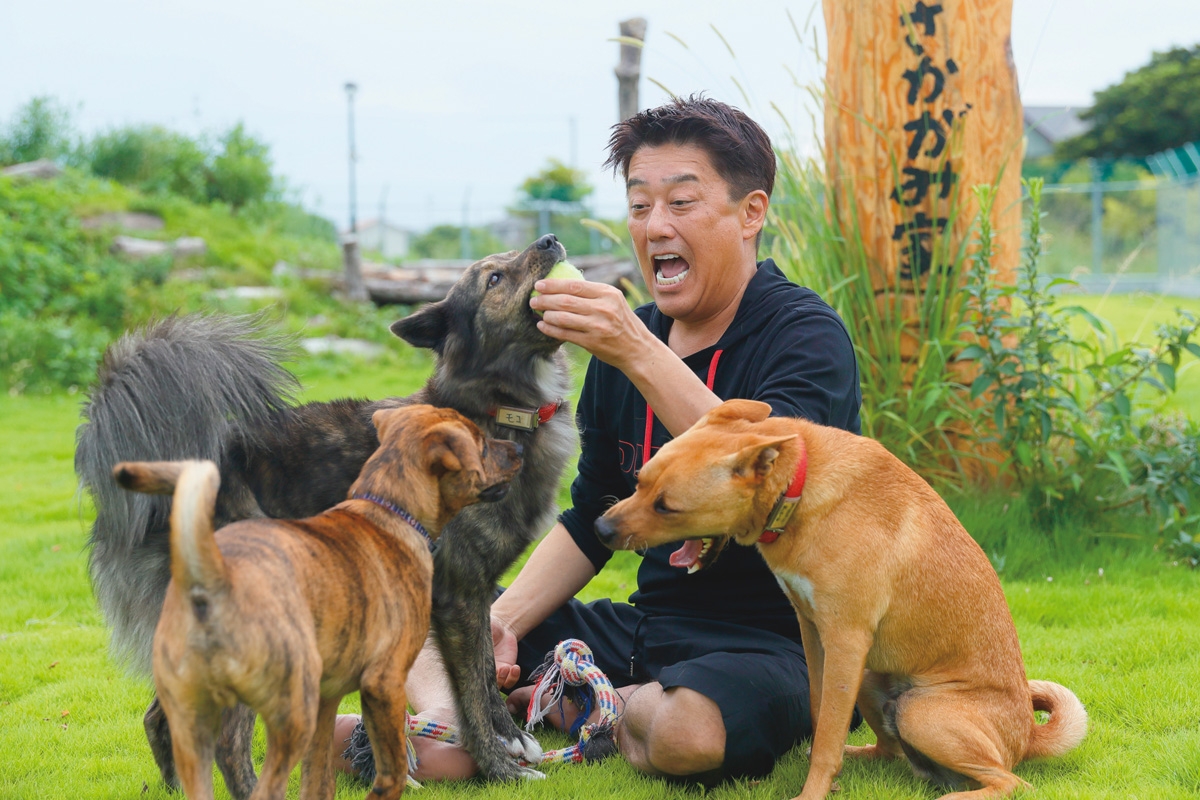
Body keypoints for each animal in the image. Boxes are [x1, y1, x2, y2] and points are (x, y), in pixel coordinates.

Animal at [114, 407, 523, 800]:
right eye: (481, 443)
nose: (519, 448)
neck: (387, 510)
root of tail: (210, 581)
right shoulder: (384, 681)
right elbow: (392, 768)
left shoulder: (330, 698)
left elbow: (319, 774)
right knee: (237, 754)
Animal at [595, 400, 1094, 800]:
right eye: (639, 481)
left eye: (666, 506)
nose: (600, 529)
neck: (799, 488)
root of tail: (1027, 735)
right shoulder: (815, 633)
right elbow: (822, 720)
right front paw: (825, 778)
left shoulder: (846, 640)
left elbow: (827, 736)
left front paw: (811, 793)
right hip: (873, 679)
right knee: (891, 753)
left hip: (922, 712)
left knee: (1012, 782)